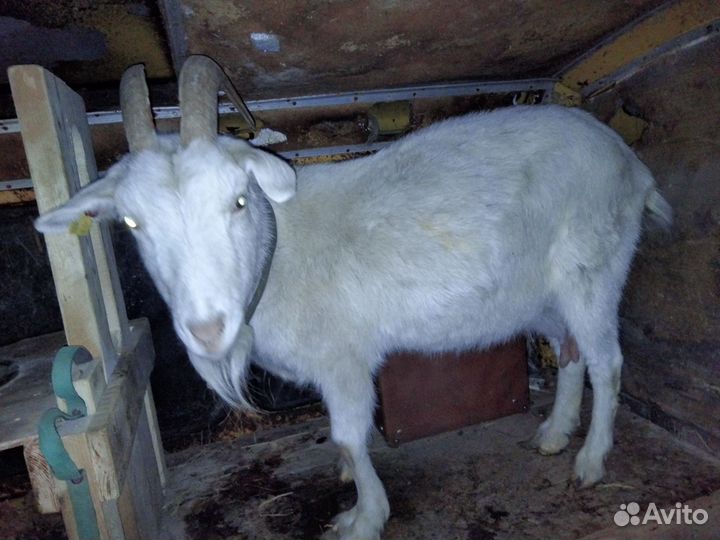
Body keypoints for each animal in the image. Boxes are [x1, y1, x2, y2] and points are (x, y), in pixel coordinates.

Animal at [35, 56, 672, 540]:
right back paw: (555, 434)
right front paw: (349, 484)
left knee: (607, 361)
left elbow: (347, 434)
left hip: (593, 269)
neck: (280, 253)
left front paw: (363, 518)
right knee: (569, 351)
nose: (207, 329)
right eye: (132, 222)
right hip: (541, 294)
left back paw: (591, 461)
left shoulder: (342, 358)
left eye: (238, 200)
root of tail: (632, 167)